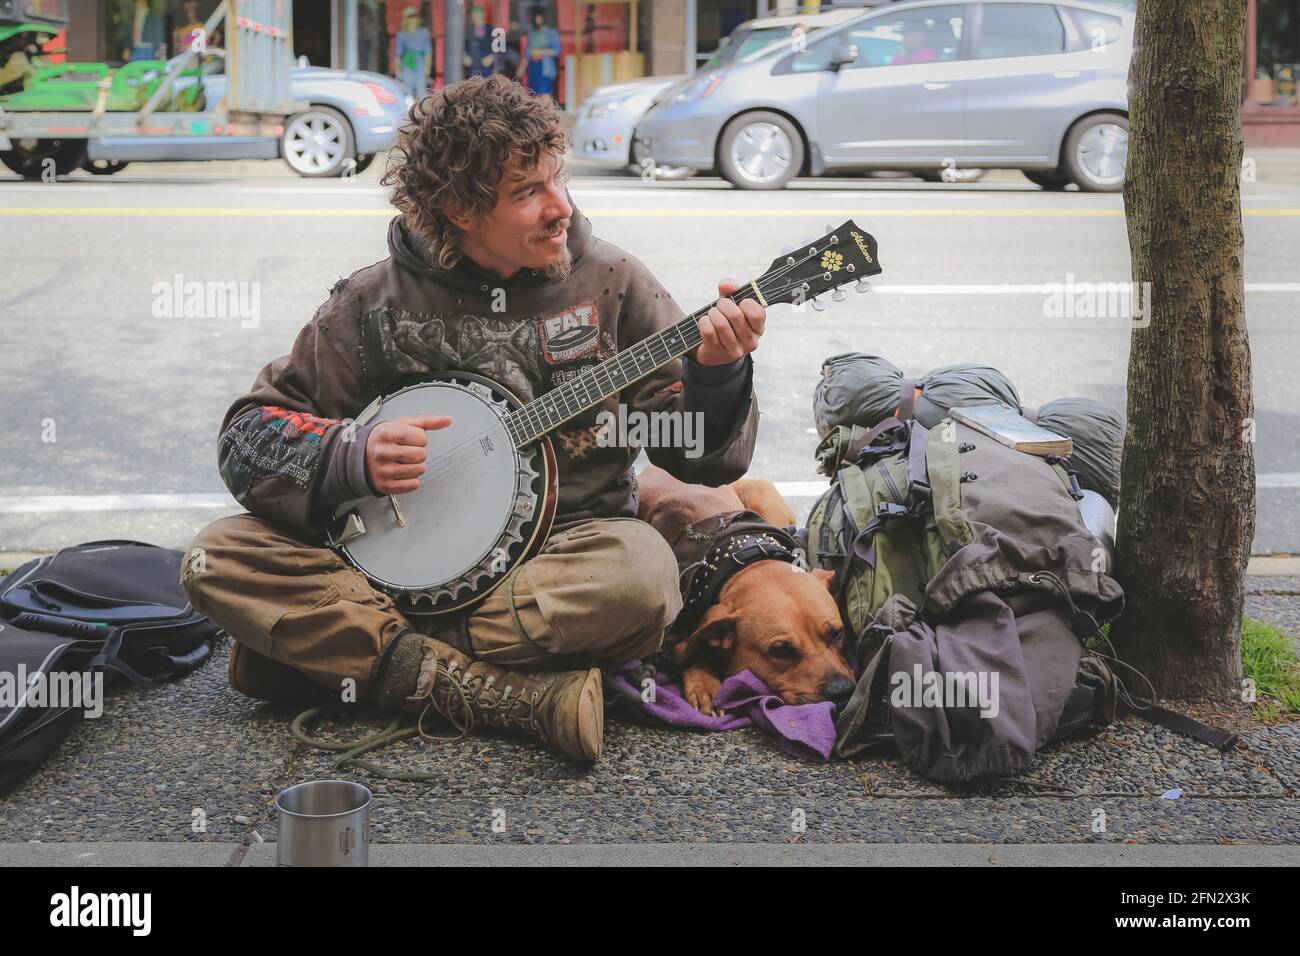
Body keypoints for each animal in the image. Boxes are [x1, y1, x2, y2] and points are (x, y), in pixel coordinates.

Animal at [634, 463, 857, 717]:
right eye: (781, 651)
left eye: (837, 633)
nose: (840, 691)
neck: (742, 559)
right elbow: (691, 647)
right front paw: (703, 682)